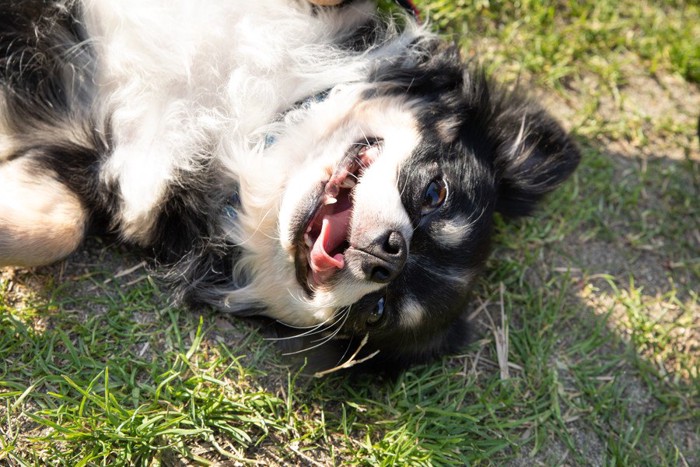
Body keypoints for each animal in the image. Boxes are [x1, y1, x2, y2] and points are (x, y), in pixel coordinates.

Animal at [0, 0, 580, 372]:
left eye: (376, 311)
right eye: (434, 194)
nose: (387, 257)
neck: (254, 129)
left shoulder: (91, 164)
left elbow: (62, 228)